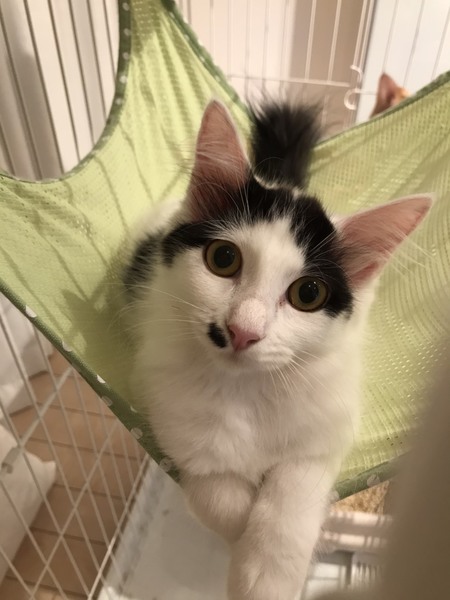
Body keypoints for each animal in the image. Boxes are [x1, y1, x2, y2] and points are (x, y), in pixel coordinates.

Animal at [123, 99, 432, 600]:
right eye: (223, 259)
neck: (247, 390)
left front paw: (267, 574)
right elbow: (215, 484)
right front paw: (239, 536)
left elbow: (294, 486)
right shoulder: (165, 409)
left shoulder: (328, 426)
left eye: (308, 294)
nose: (242, 331)